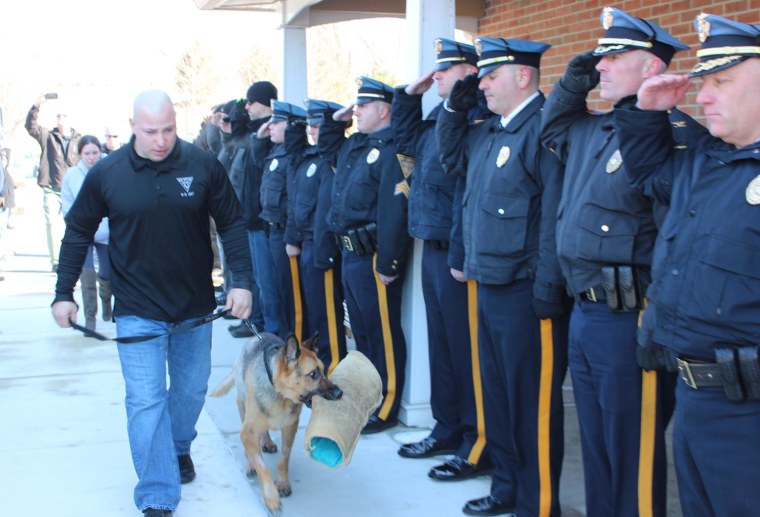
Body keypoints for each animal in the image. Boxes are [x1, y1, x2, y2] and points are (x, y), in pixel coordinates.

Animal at [206, 332, 340, 512]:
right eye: (313, 374)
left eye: (324, 371)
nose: (340, 393)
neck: (280, 395)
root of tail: (258, 335)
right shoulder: (247, 432)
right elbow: (262, 465)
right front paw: (271, 497)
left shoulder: (290, 428)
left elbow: (283, 460)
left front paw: (282, 483)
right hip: (243, 405)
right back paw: (251, 462)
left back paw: (267, 441)